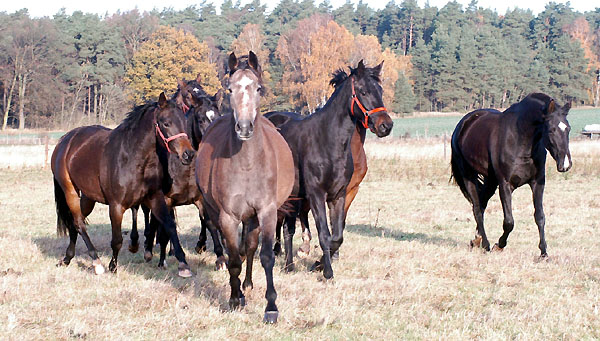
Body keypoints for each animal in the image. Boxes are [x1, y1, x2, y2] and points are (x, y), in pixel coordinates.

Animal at [51, 92, 195, 276]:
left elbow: (170, 226)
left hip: (88, 197)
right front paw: (113, 266)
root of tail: (65, 139)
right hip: (70, 191)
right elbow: (117, 240)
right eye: (166, 123)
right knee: (78, 223)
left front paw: (183, 264)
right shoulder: (116, 206)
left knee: (75, 222)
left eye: (184, 122)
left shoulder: (155, 198)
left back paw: (67, 258)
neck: (133, 157)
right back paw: (96, 262)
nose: (188, 154)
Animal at [196, 51, 294, 322]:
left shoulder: (267, 212)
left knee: (250, 247)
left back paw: (248, 284)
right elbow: (233, 260)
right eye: (230, 89)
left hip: (254, 216)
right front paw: (233, 298)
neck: (248, 164)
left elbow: (265, 255)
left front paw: (271, 307)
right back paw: (240, 289)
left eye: (258, 88)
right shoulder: (228, 217)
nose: (244, 127)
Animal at [450, 91, 572, 256]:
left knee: (481, 205)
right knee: (477, 209)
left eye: (568, 128)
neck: (520, 139)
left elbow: (539, 217)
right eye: (551, 129)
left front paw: (544, 253)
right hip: (468, 176)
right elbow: (509, 222)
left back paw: (476, 240)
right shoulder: (505, 185)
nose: (565, 164)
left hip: (490, 181)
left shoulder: (537, 182)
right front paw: (499, 245)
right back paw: (485, 244)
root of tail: (463, 124)